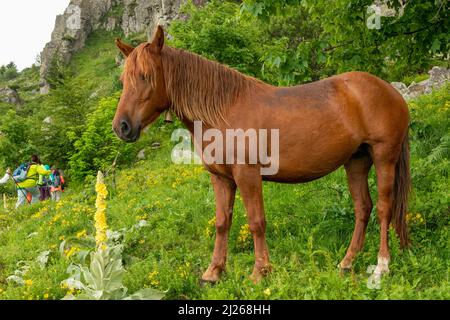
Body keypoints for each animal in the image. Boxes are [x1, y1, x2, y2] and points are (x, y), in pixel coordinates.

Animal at [113, 26, 412, 282]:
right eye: (123, 80)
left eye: (145, 76)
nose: (122, 127)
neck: (224, 111)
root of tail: (390, 91)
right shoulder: (221, 179)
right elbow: (222, 222)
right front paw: (213, 272)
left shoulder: (248, 175)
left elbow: (256, 222)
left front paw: (260, 272)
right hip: (356, 161)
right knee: (363, 207)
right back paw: (347, 262)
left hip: (384, 156)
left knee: (384, 207)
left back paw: (381, 266)